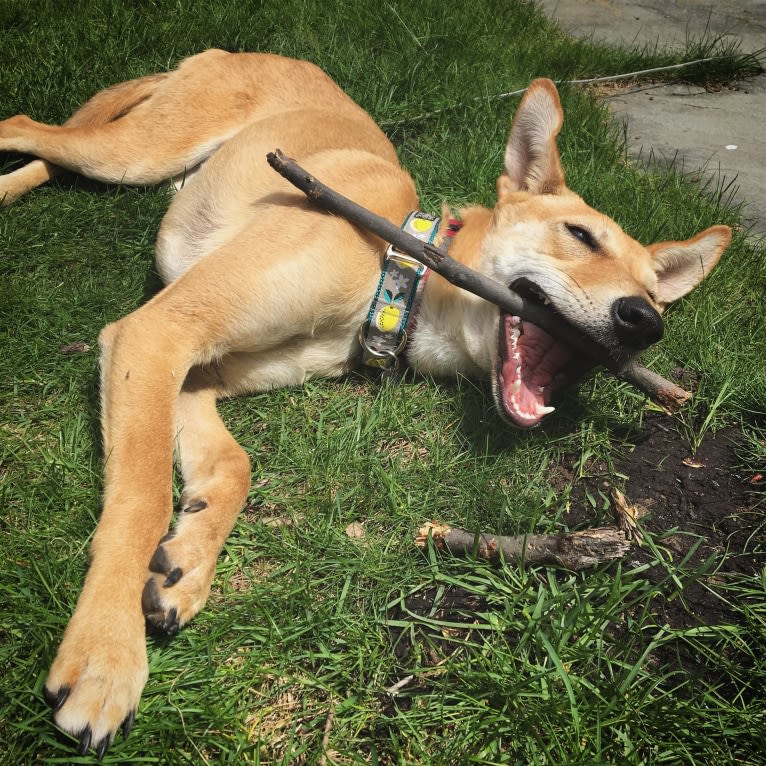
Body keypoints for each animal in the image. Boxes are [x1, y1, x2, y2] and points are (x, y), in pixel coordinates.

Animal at [0, 51, 732, 760]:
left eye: (656, 294)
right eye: (580, 236)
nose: (645, 322)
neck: (398, 274)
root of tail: (239, 47)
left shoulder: (195, 372)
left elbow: (232, 467)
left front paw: (187, 561)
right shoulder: (156, 332)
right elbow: (142, 497)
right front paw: (107, 654)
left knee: (47, 151)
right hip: (137, 151)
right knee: (23, 123)